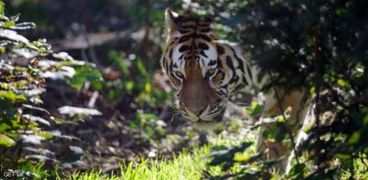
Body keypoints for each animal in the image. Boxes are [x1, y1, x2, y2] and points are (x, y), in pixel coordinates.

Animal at [160, 8, 312, 171]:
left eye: (212, 72)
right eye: (179, 74)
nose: (195, 112)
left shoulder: (290, 83)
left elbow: (275, 138)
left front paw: (268, 171)